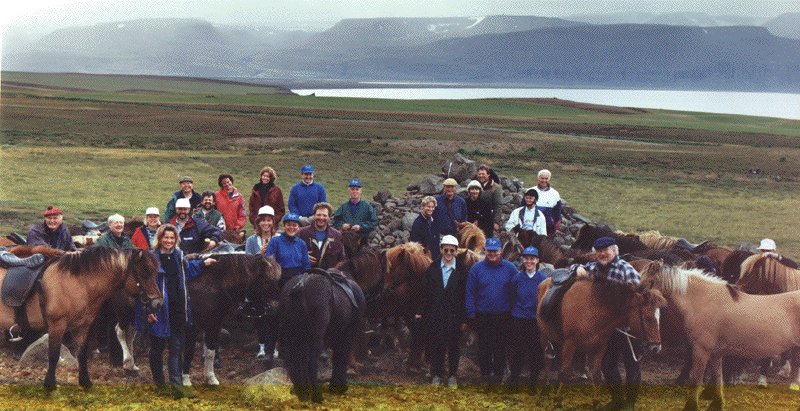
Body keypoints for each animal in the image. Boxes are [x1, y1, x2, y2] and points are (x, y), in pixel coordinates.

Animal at [0, 246, 164, 392]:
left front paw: (85, 381)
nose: (158, 304)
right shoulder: (57, 326)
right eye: (144, 273)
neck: (76, 284)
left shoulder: (82, 327)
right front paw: (50, 383)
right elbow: (53, 356)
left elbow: (82, 353)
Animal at [282, 268, 362, 404]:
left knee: (294, 362)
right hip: (316, 336)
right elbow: (341, 359)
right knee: (312, 363)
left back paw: (302, 394)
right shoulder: (346, 336)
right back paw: (317, 396)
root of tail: (301, 284)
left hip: (294, 335)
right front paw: (338, 387)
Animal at [536, 276, 668, 411]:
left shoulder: (599, 348)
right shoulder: (570, 344)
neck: (592, 309)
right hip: (544, 338)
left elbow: (597, 375)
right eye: (648, 318)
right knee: (547, 364)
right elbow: (564, 373)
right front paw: (558, 402)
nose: (656, 347)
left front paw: (596, 402)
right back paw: (544, 394)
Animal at [640, 264, 800, 411]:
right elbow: (718, 377)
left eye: (645, 282)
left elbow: (697, 378)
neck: (703, 301)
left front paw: (691, 405)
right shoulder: (716, 354)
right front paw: (717, 404)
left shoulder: (701, 350)